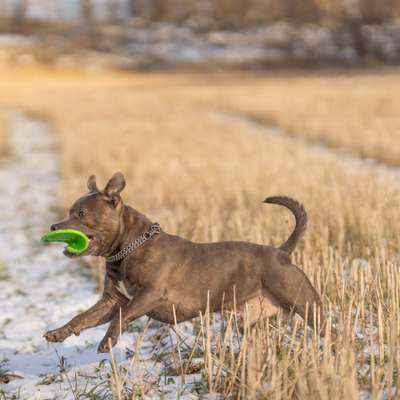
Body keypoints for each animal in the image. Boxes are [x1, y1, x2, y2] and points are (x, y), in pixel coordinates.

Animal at [43, 173, 324, 354]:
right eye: (70, 212)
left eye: (81, 214)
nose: (54, 227)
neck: (127, 248)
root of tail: (281, 253)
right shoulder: (111, 301)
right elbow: (83, 317)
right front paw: (59, 332)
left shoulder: (148, 295)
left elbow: (122, 317)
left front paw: (107, 342)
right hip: (250, 320)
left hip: (306, 305)